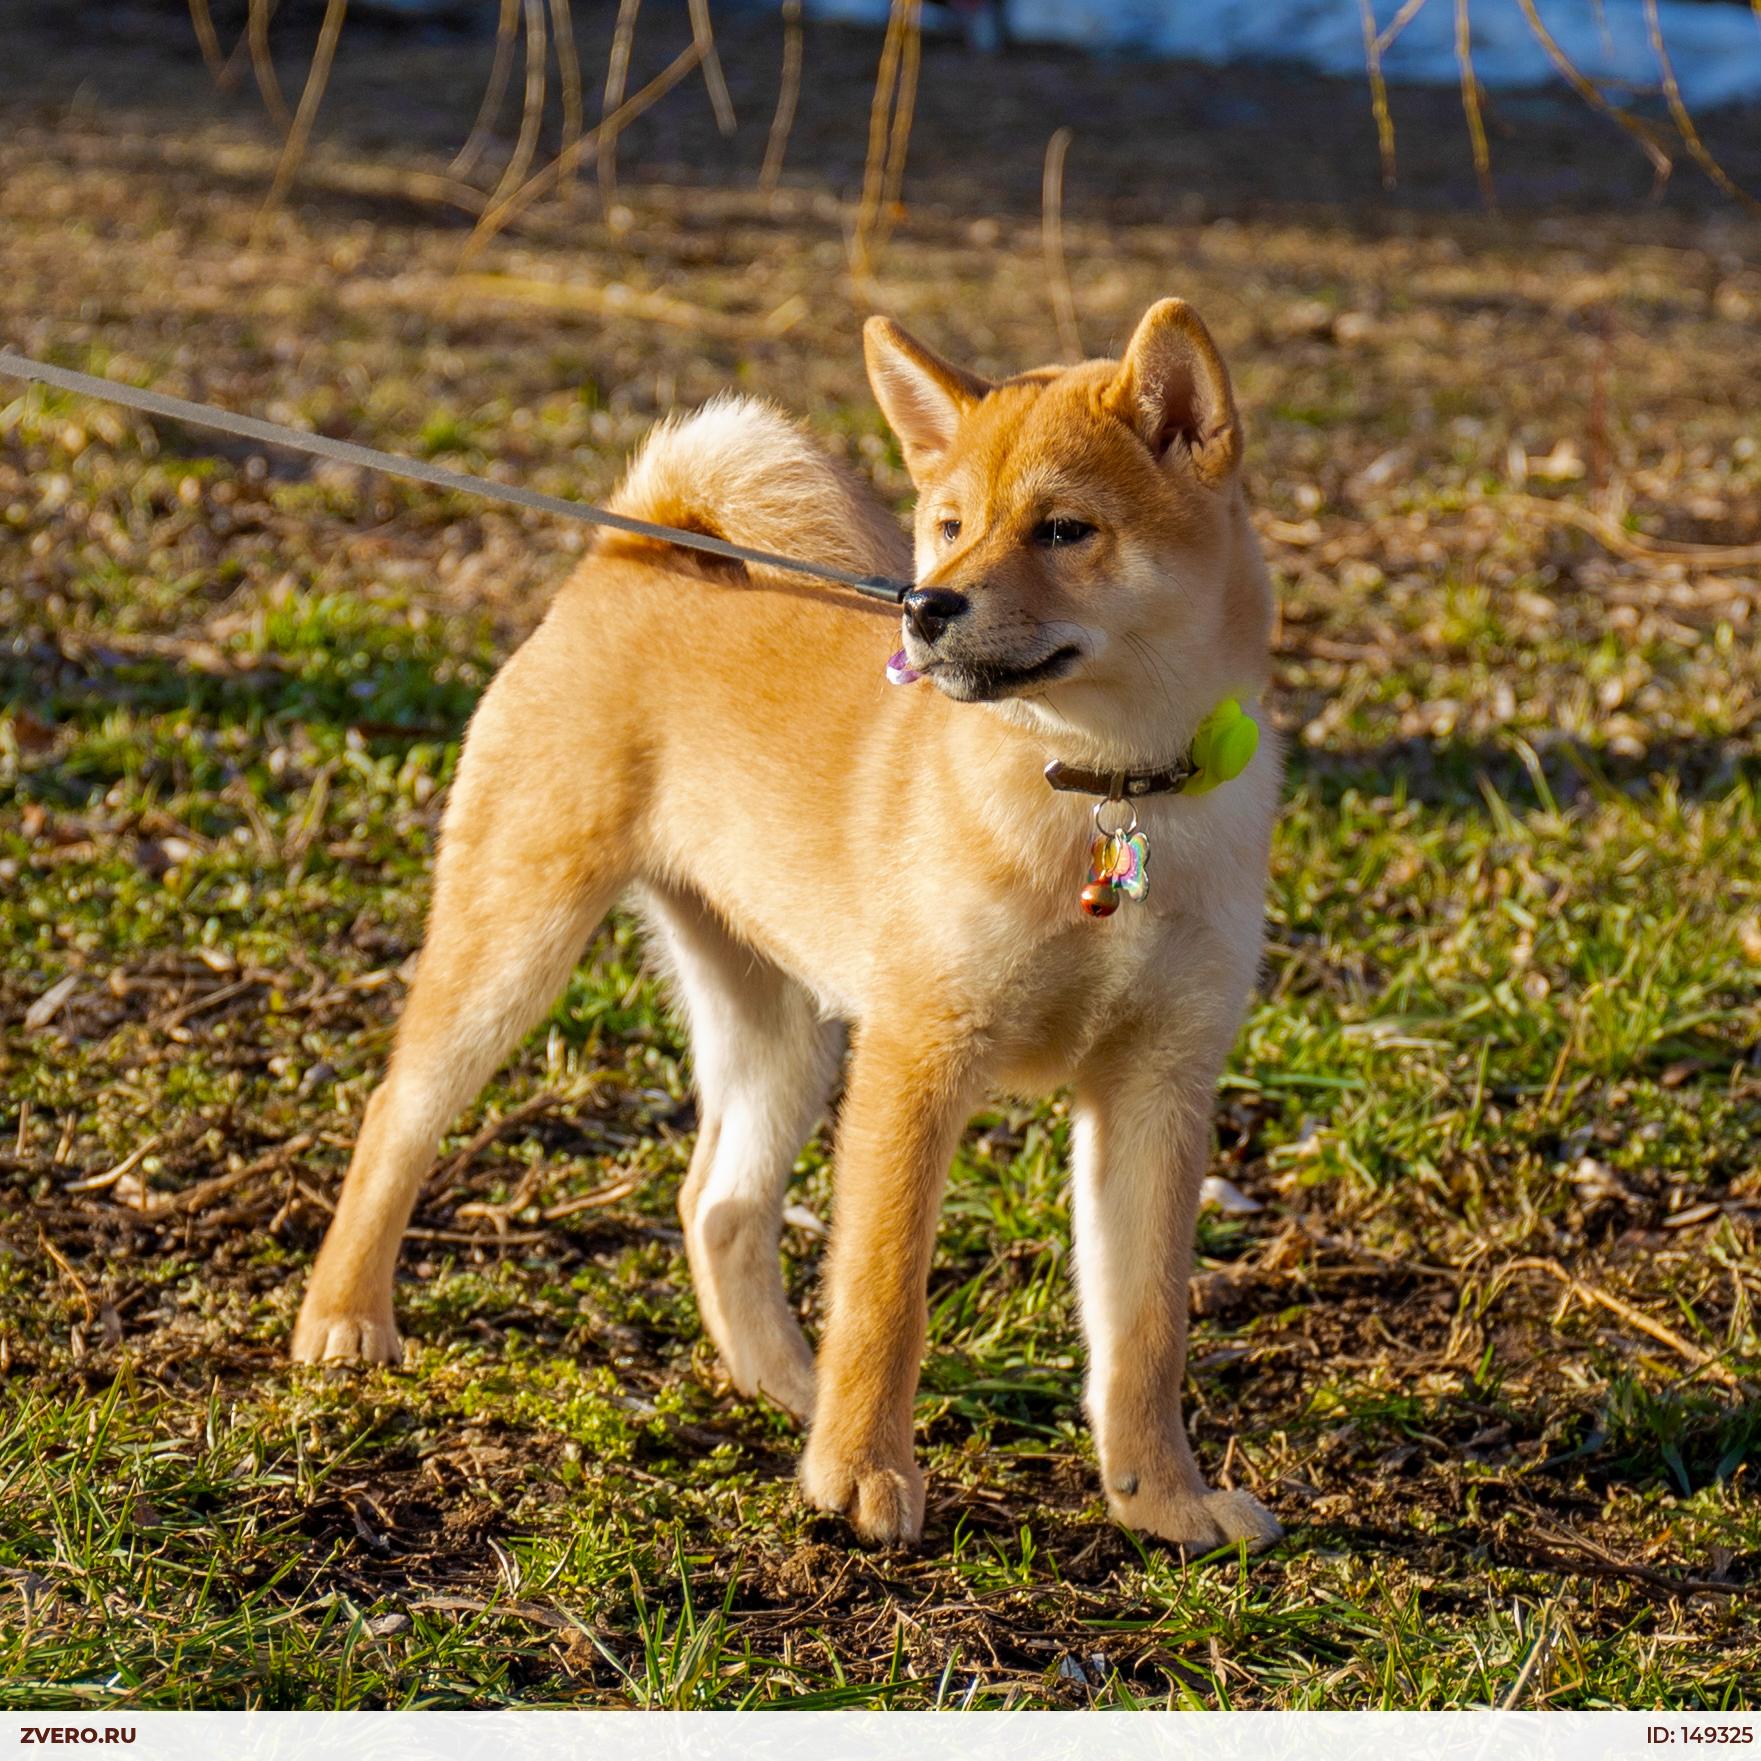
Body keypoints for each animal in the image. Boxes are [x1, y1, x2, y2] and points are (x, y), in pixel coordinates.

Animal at [288, 302, 1282, 1556]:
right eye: (948, 526)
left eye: (1066, 529)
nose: (926, 606)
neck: (1105, 794)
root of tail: (636, 552)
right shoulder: (917, 1059)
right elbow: (885, 1292)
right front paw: (860, 1476)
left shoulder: (1156, 1089)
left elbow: (1143, 1333)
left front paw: (1163, 1502)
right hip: (516, 943)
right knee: (398, 1114)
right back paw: (344, 1322)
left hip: (781, 1030)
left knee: (715, 1203)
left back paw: (782, 1386)